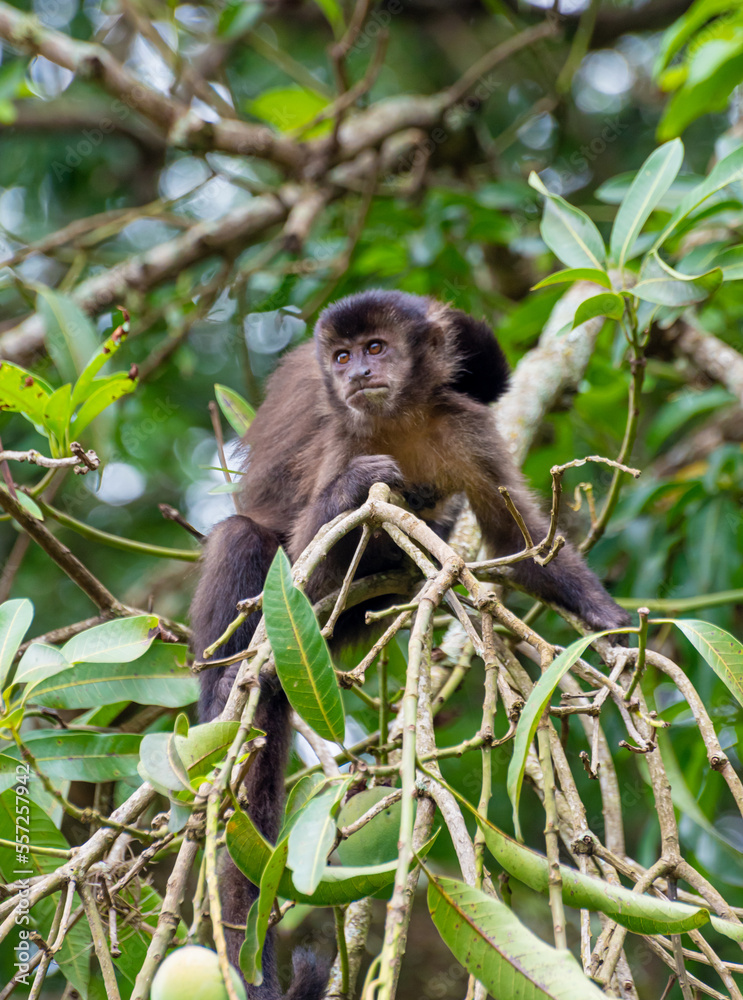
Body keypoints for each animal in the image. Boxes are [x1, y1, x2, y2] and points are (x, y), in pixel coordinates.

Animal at [190, 289, 631, 999]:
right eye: (343, 356)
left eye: (376, 349)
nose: (356, 373)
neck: (399, 419)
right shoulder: (343, 437)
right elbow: (301, 565)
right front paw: (348, 494)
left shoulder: (467, 427)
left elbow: (516, 538)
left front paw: (604, 617)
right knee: (244, 536)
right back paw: (224, 686)